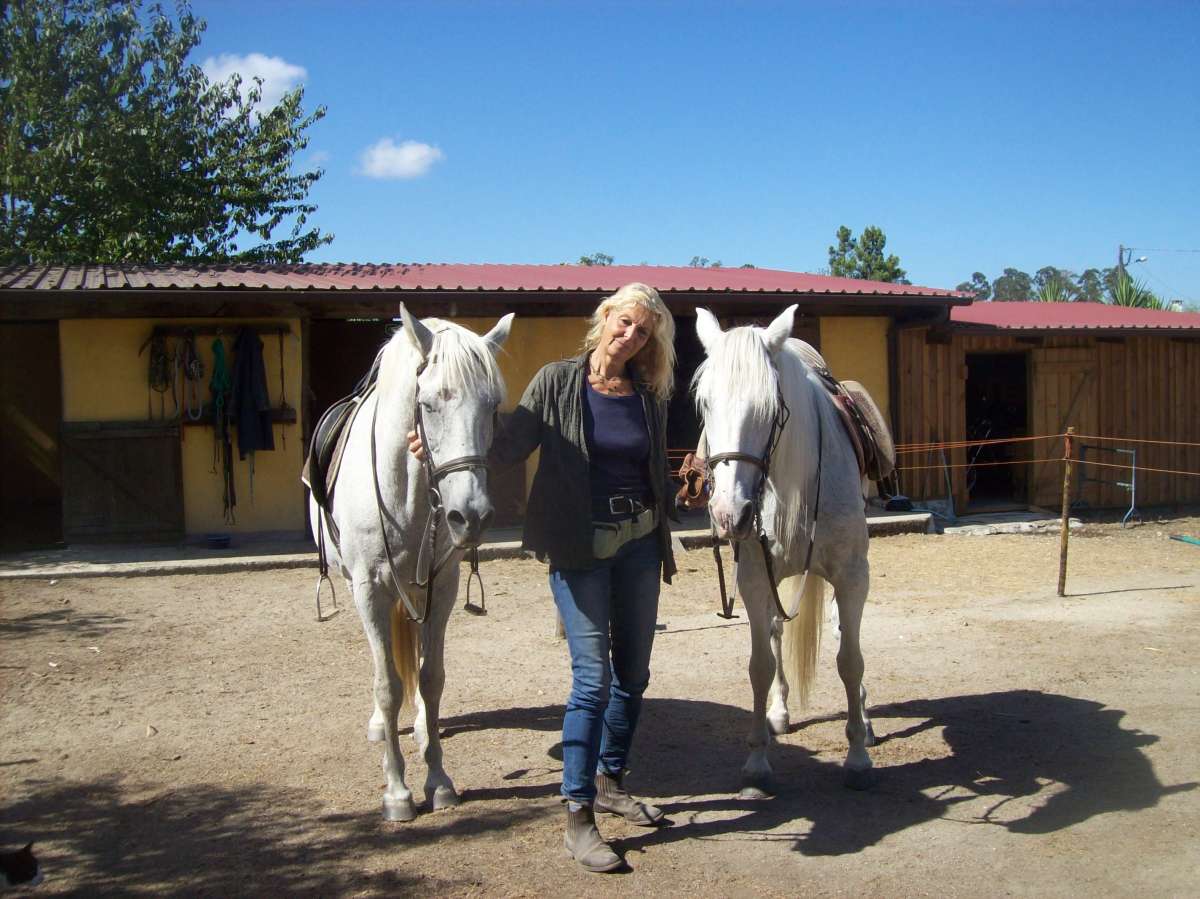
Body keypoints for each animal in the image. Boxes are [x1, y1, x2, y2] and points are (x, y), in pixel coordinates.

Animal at [309, 307, 511, 820]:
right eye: (428, 403)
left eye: (492, 406)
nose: (470, 516)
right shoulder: (370, 590)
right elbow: (387, 684)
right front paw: (397, 791)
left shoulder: (442, 588)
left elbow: (432, 679)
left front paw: (437, 780)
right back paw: (383, 725)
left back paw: (420, 726)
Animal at [691, 307, 878, 792]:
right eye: (704, 403)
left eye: (771, 409)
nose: (728, 513)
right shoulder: (756, 581)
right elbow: (758, 665)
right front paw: (758, 761)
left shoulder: (852, 577)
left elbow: (850, 660)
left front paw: (857, 757)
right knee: (777, 634)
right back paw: (779, 712)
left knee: (843, 635)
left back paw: (866, 722)